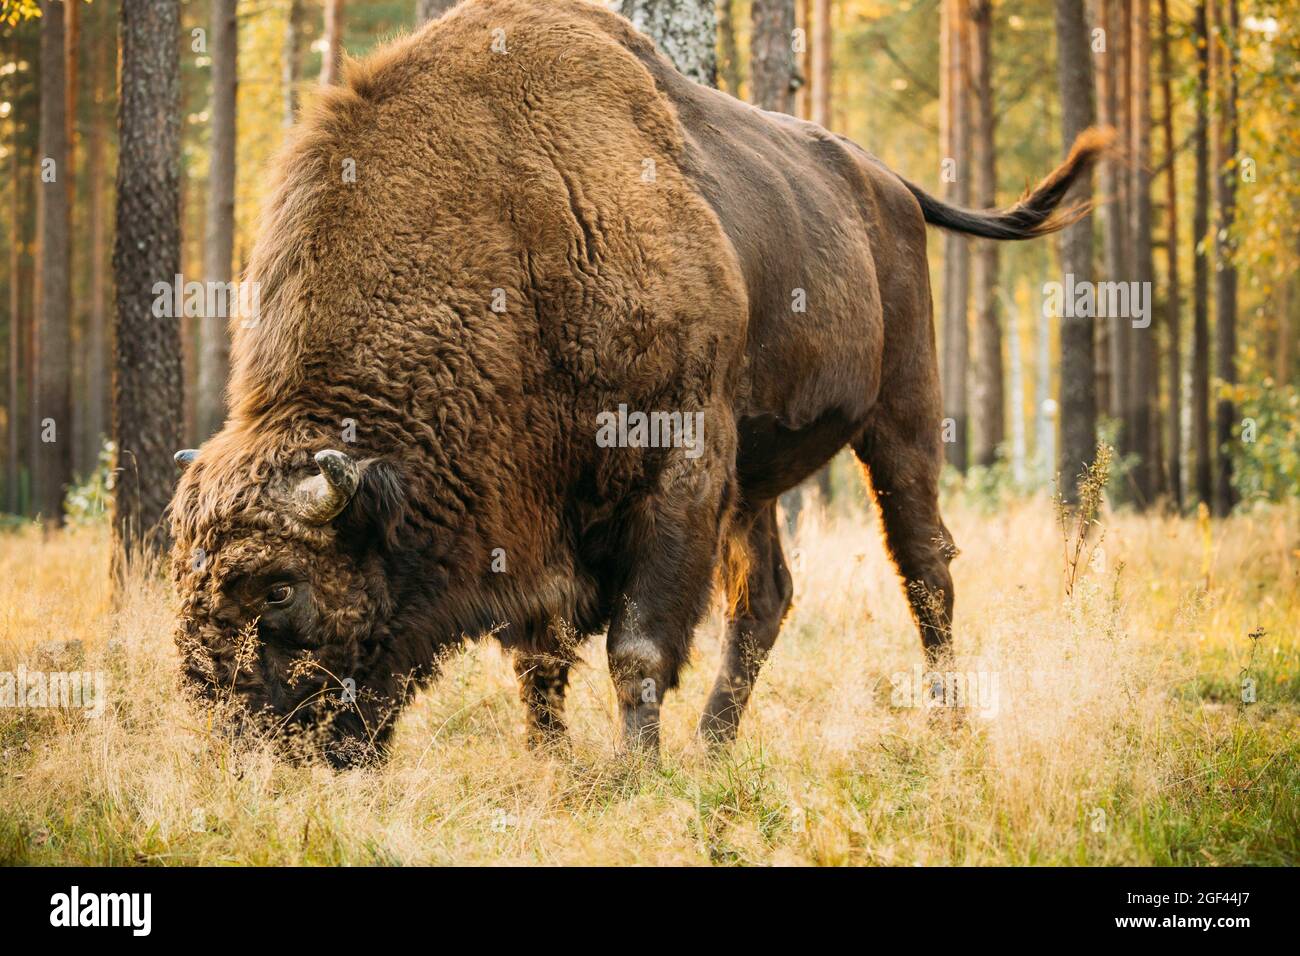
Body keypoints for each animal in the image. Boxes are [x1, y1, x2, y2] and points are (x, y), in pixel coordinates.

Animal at [170, 0, 1107, 764]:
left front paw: (632, 771)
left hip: (902, 418)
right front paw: (552, 761)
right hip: (757, 473)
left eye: (281, 586)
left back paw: (943, 722)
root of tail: (888, 185)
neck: (512, 239)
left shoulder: (676, 464)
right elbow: (539, 656)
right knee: (766, 596)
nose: (238, 743)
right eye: (185, 577)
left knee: (924, 567)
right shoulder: (537, 508)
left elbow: (639, 647)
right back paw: (715, 746)